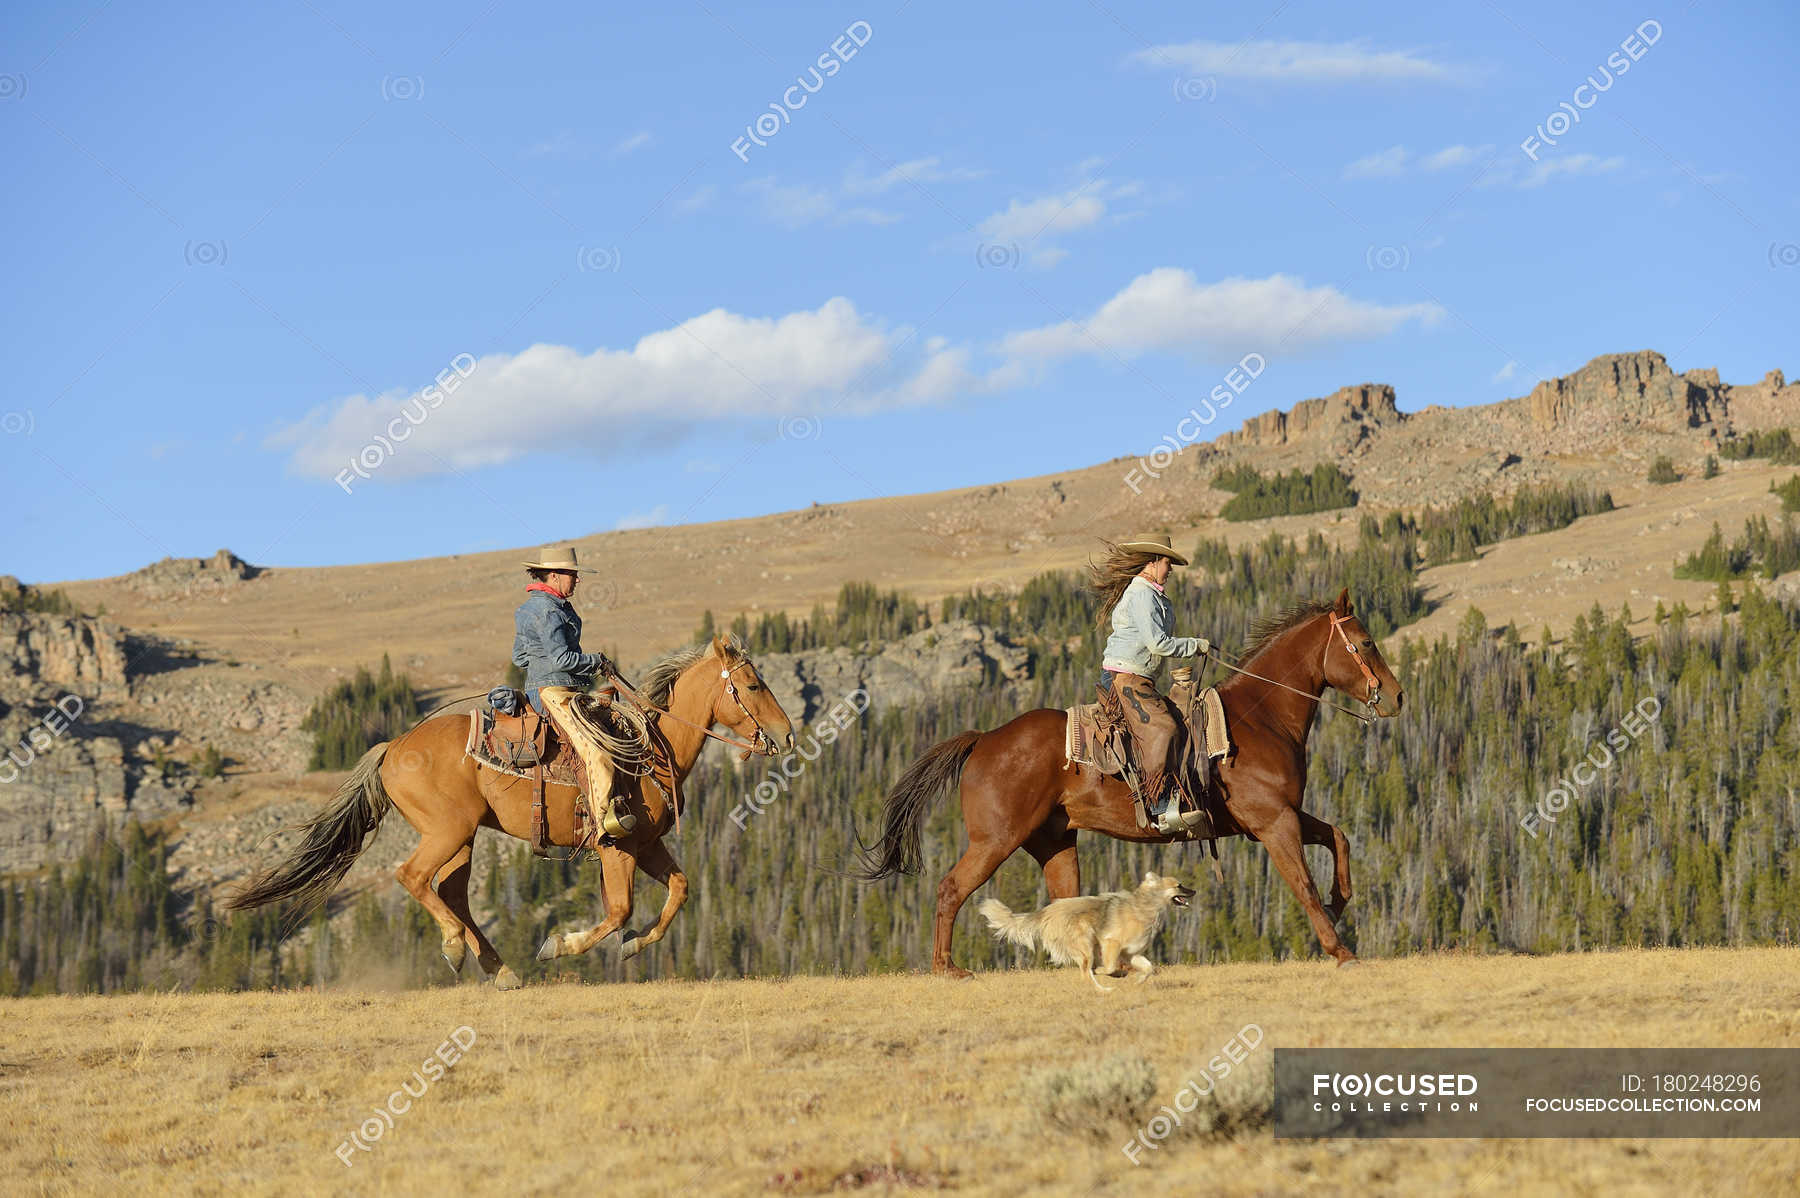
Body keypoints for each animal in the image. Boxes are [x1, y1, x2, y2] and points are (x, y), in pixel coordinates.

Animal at [225, 629, 788, 985]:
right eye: (753, 684)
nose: (785, 734)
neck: (652, 747)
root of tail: (394, 747)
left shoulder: (646, 844)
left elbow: (679, 891)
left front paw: (632, 945)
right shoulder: (617, 844)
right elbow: (619, 909)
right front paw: (560, 945)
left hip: (463, 837)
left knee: (451, 893)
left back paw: (502, 971)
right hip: (447, 831)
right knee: (414, 878)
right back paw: (458, 949)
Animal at [856, 586, 1404, 971]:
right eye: (1366, 642)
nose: (1396, 697)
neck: (1259, 719)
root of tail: (985, 738)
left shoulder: (1282, 816)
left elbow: (1338, 837)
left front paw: (1339, 902)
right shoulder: (1274, 823)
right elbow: (1304, 884)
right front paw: (1340, 949)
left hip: (1054, 842)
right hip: (996, 839)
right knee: (950, 888)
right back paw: (947, 968)